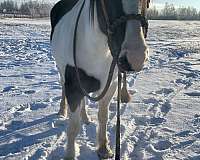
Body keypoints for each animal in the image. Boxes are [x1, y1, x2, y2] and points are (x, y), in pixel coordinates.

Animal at [50, 0, 149, 159]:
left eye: (147, 2)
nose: (135, 58)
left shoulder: (110, 85)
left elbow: (103, 116)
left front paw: (103, 148)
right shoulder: (73, 88)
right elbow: (73, 127)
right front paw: (70, 154)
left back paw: (85, 117)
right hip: (61, 71)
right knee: (63, 87)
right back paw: (62, 111)